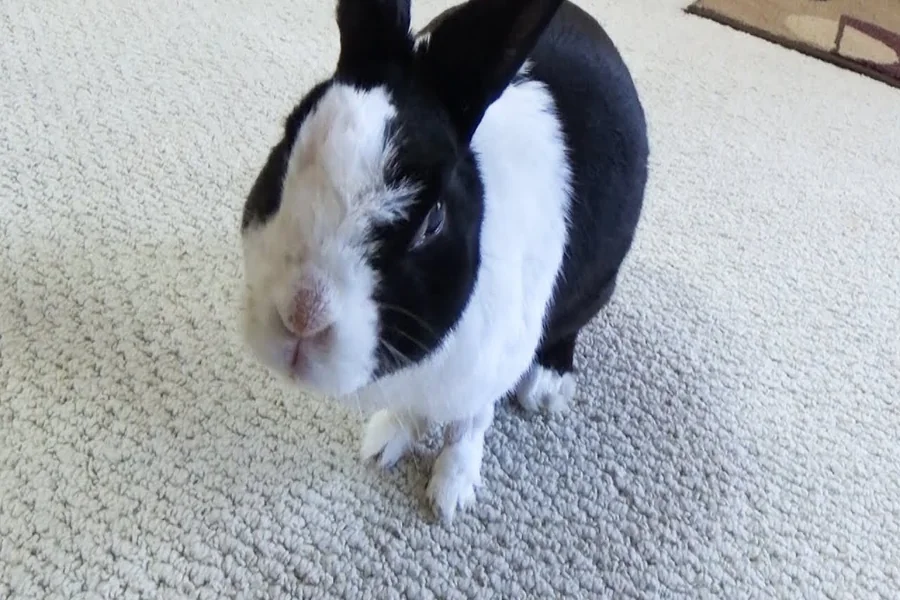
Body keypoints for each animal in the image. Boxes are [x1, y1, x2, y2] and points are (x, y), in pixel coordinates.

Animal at [239, 0, 648, 522]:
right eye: (282, 152)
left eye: (432, 221)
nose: (301, 317)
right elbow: (412, 412)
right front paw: (385, 441)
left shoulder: (483, 375)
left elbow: (466, 429)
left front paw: (451, 493)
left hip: (597, 285)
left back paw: (546, 385)